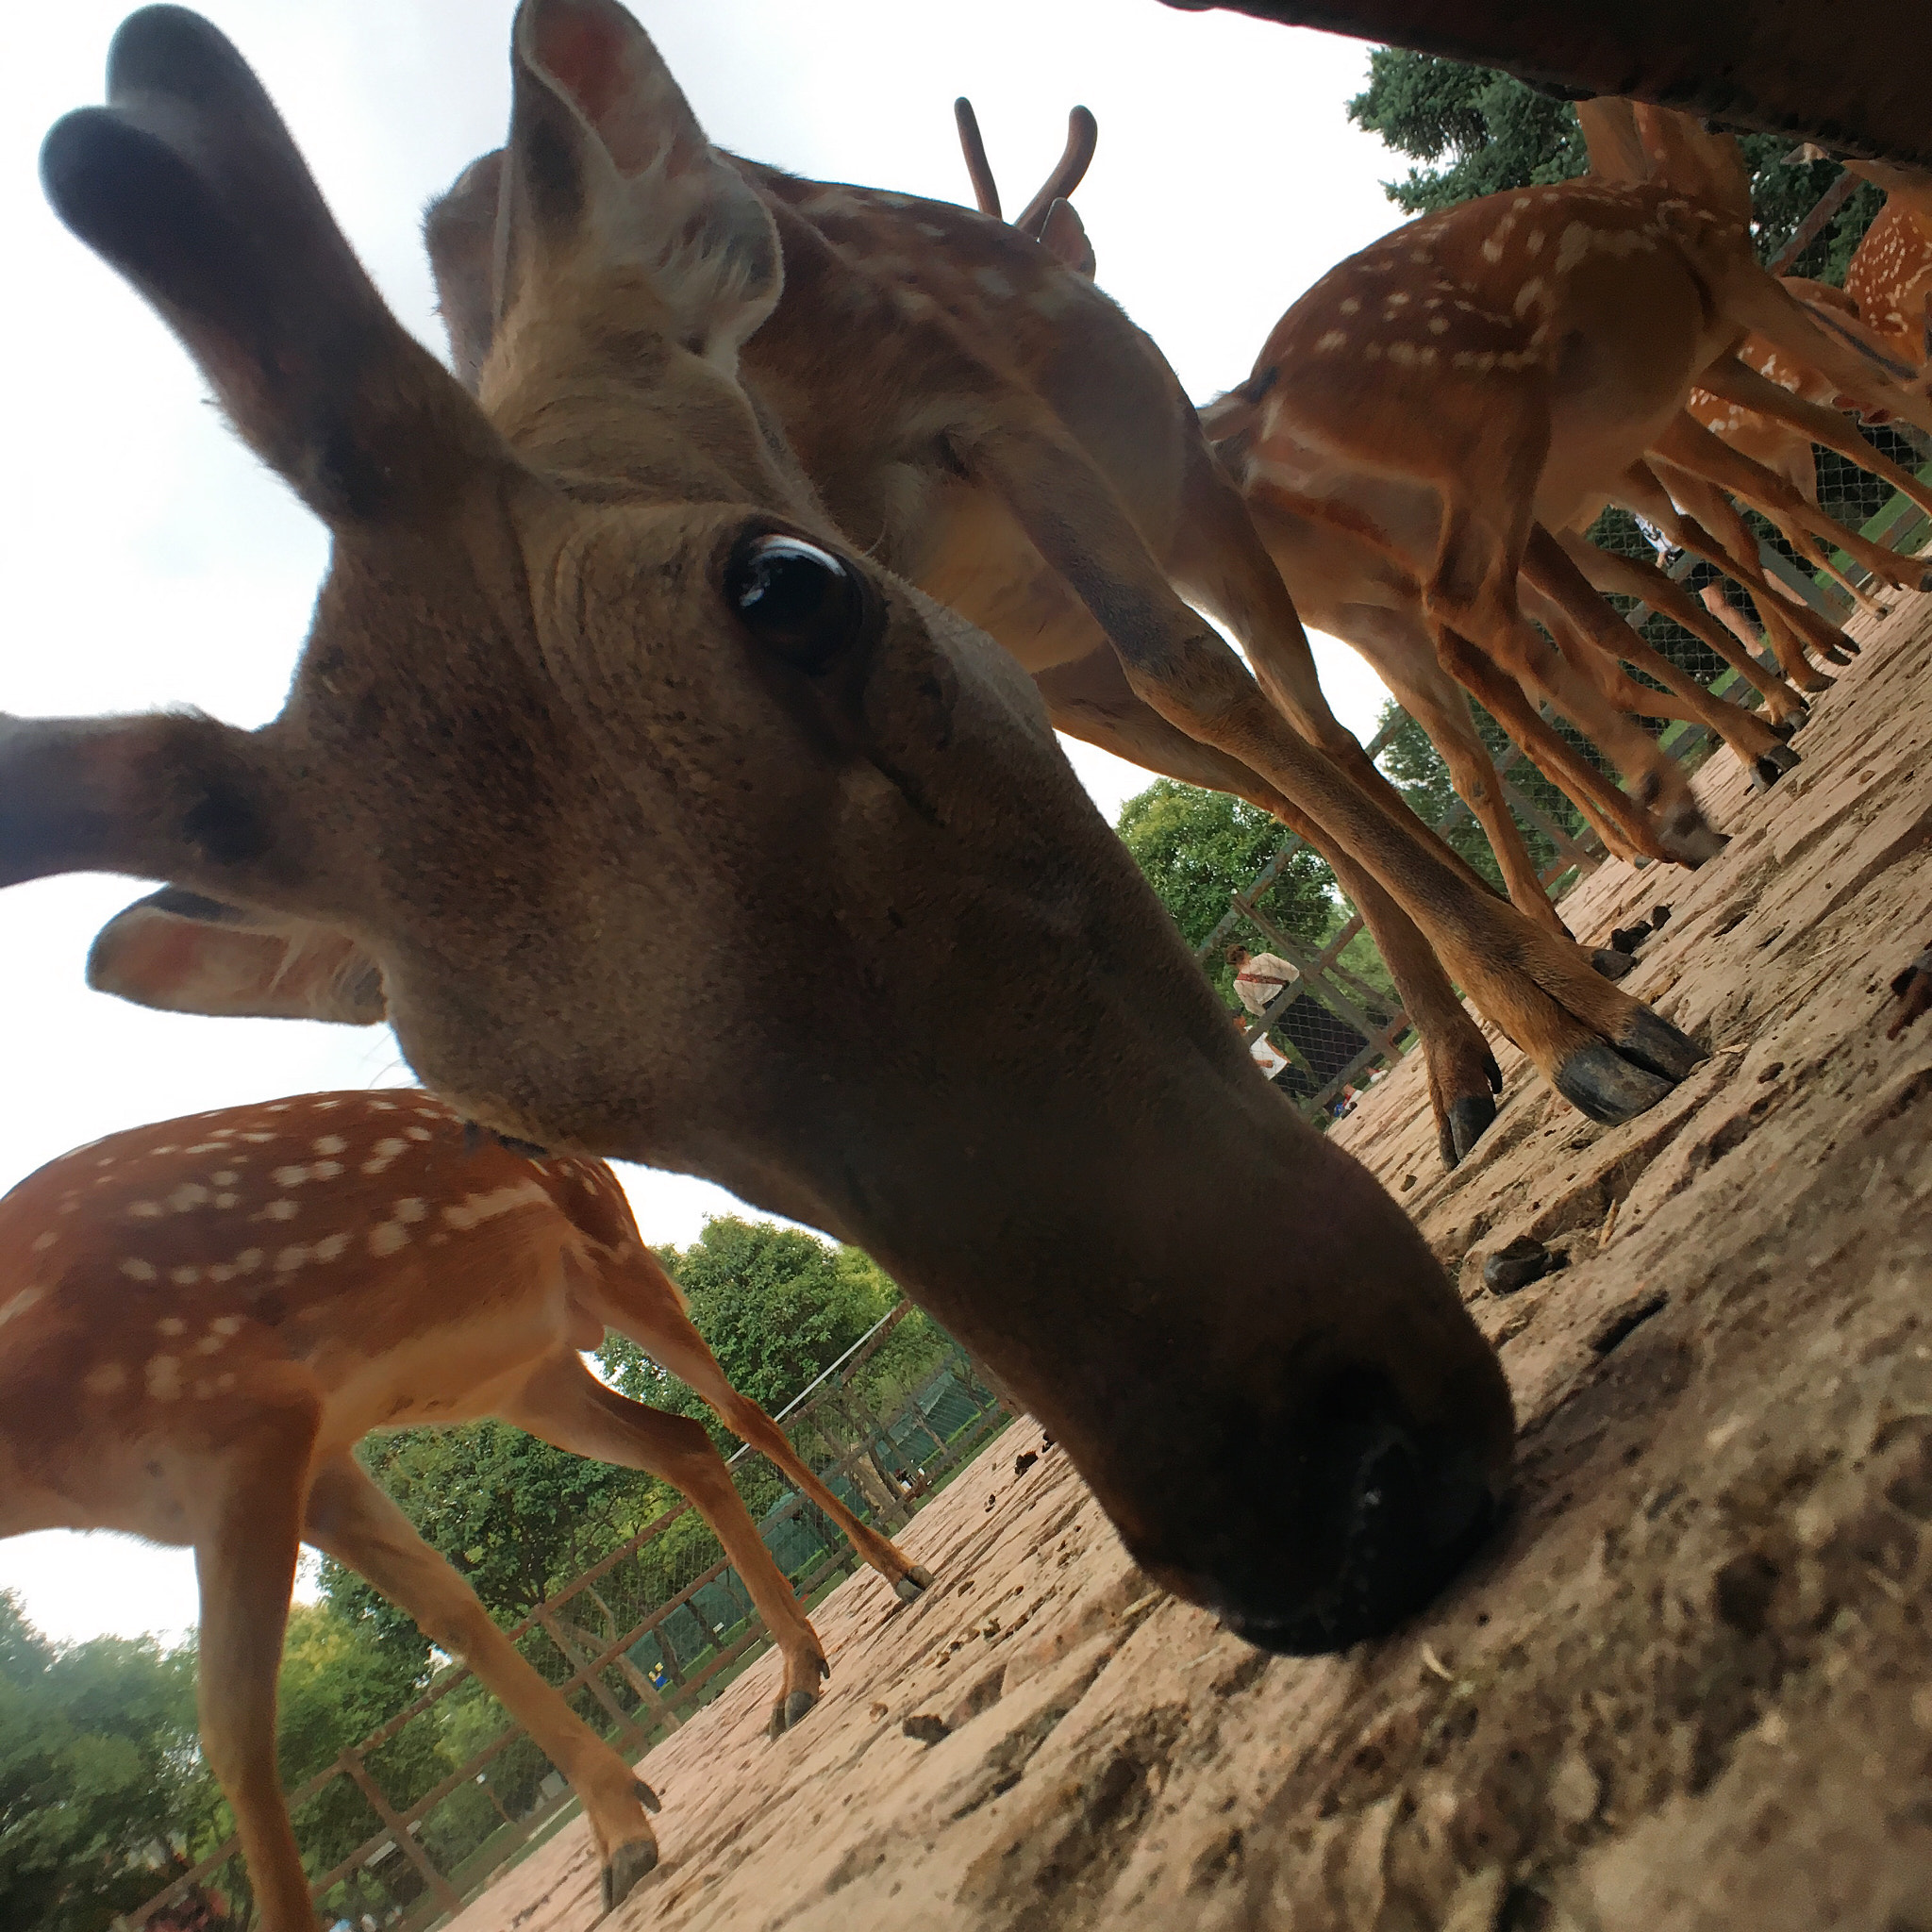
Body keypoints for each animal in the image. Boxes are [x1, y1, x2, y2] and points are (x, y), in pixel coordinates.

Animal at [0, 1090, 942, 1923]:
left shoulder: (243, 1419)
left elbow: (234, 1730)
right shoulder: (318, 1460)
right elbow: (451, 1610)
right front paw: (623, 1835)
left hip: (613, 1251)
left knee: (744, 1413)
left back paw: (896, 1580)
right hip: (527, 1376)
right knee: (685, 1442)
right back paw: (797, 1673)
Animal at [6, 2, 1518, 1669]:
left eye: (790, 591)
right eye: (497, 1112)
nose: (1330, 1510)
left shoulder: (981, 416)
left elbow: (1219, 680)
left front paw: (1599, 1044)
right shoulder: (1009, 636)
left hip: (1174, 476)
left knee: (1302, 706)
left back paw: (1533, 1013)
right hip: (1057, 653)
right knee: (1257, 750)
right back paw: (1461, 1064)